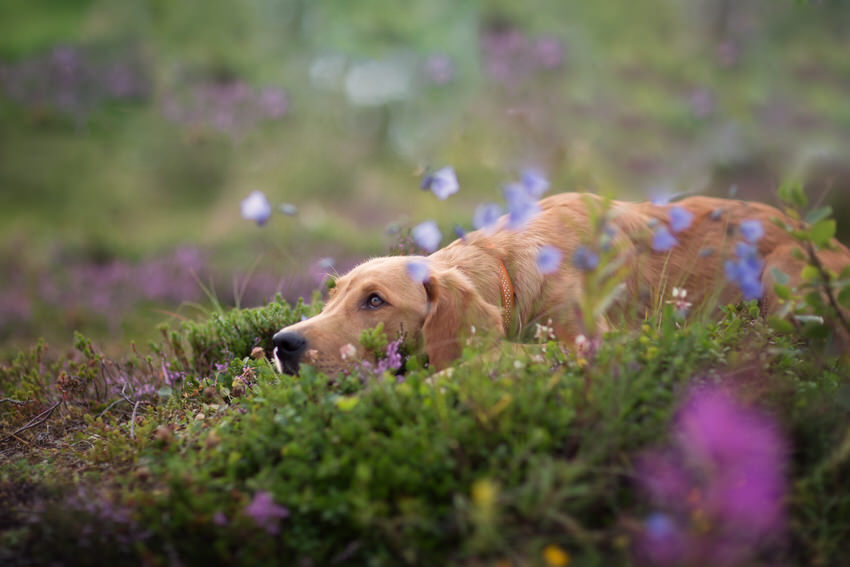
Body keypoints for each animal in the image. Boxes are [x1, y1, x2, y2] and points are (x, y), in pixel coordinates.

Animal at [274, 193, 848, 374]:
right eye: (332, 294)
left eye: (375, 300)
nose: (281, 343)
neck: (506, 266)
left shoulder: (587, 343)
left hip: (784, 278)